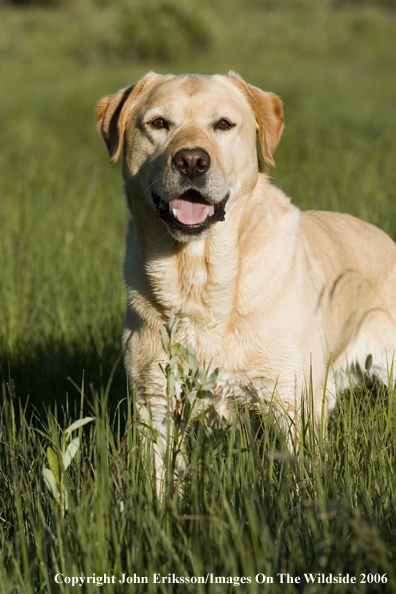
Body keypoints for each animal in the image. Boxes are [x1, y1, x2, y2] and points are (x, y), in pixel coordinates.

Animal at [95, 71, 396, 472]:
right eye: (159, 123)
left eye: (223, 124)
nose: (191, 161)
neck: (200, 277)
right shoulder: (154, 406)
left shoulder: (292, 403)